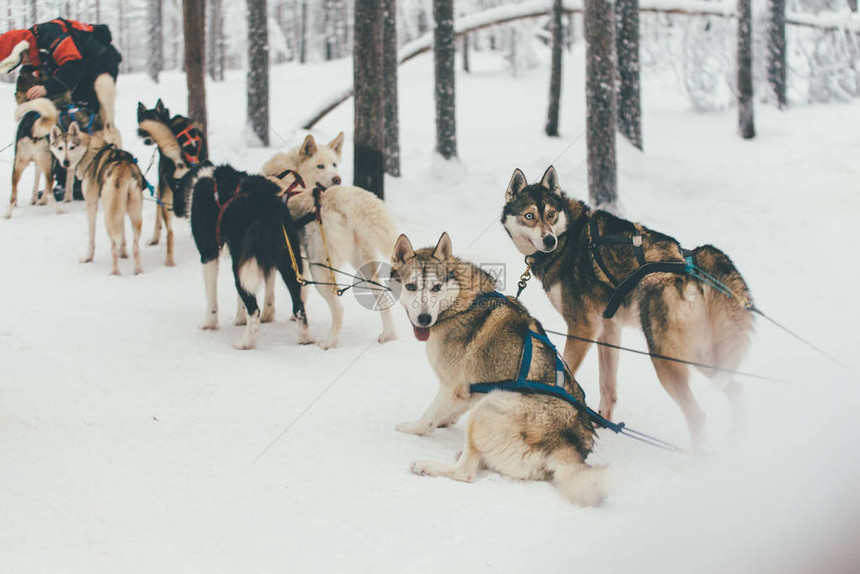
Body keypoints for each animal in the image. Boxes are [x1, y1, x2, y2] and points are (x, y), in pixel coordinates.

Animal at [135, 99, 207, 268]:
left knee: (170, 233)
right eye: (142, 121)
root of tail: (180, 157)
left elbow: (157, 217)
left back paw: (168, 261)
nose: (146, 140)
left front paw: (154, 239)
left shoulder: (160, 188)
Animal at [171, 162, 312, 352]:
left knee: (255, 310)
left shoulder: (209, 255)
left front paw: (209, 324)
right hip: (289, 263)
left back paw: (246, 342)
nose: (174, 210)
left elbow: (211, 299)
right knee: (298, 305)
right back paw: (305, 338)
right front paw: (240, 319)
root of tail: (267, 206)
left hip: (241, 268)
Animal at [260, 134, 398, 352]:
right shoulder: (296, 257)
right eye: (320, 166)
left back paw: (330, 342)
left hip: (320, 268)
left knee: (339, 309)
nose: (337, 178)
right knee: (382, 296)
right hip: (364, 266)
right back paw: (388, 335)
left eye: (334, 164)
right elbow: (298, 291)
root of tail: (334, 198)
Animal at [390, 232, 604, 506]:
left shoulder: (451, 387)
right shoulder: (472, 387)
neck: (460, 301)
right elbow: (450, 411)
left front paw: (414, 427)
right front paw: (446, 420)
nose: (425, 319)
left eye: (436, 288)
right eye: (411, 287)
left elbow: (428, 418)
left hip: (490, 404)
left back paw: (427, 466)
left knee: (465, 472)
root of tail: (565, 445)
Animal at [500, 166, 748, 450]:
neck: (569, 235)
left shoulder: (582, 327)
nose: (549, 240)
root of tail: (690, 267)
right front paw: (603, 422)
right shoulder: (608, 328)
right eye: (529, 216)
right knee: (735, 390)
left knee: (697, 414)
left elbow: (564, 372)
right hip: (697, 356)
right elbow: (607, 386)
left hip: (666, 359)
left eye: (551, 214)